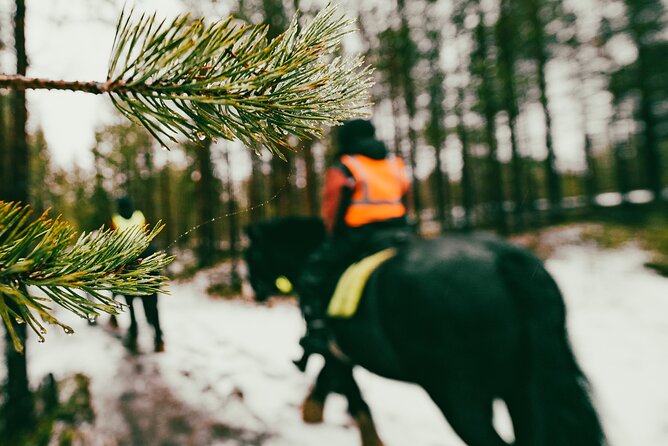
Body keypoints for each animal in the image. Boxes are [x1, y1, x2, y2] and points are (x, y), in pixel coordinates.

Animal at [244, 214, 604, 444]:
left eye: (250, 254)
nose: (254, 291)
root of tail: (504, 261)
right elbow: (332, 381)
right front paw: (313, 411)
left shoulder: (336, 350)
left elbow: (349, 392)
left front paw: (315, 412)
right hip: (520, 388)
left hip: (456, 394)